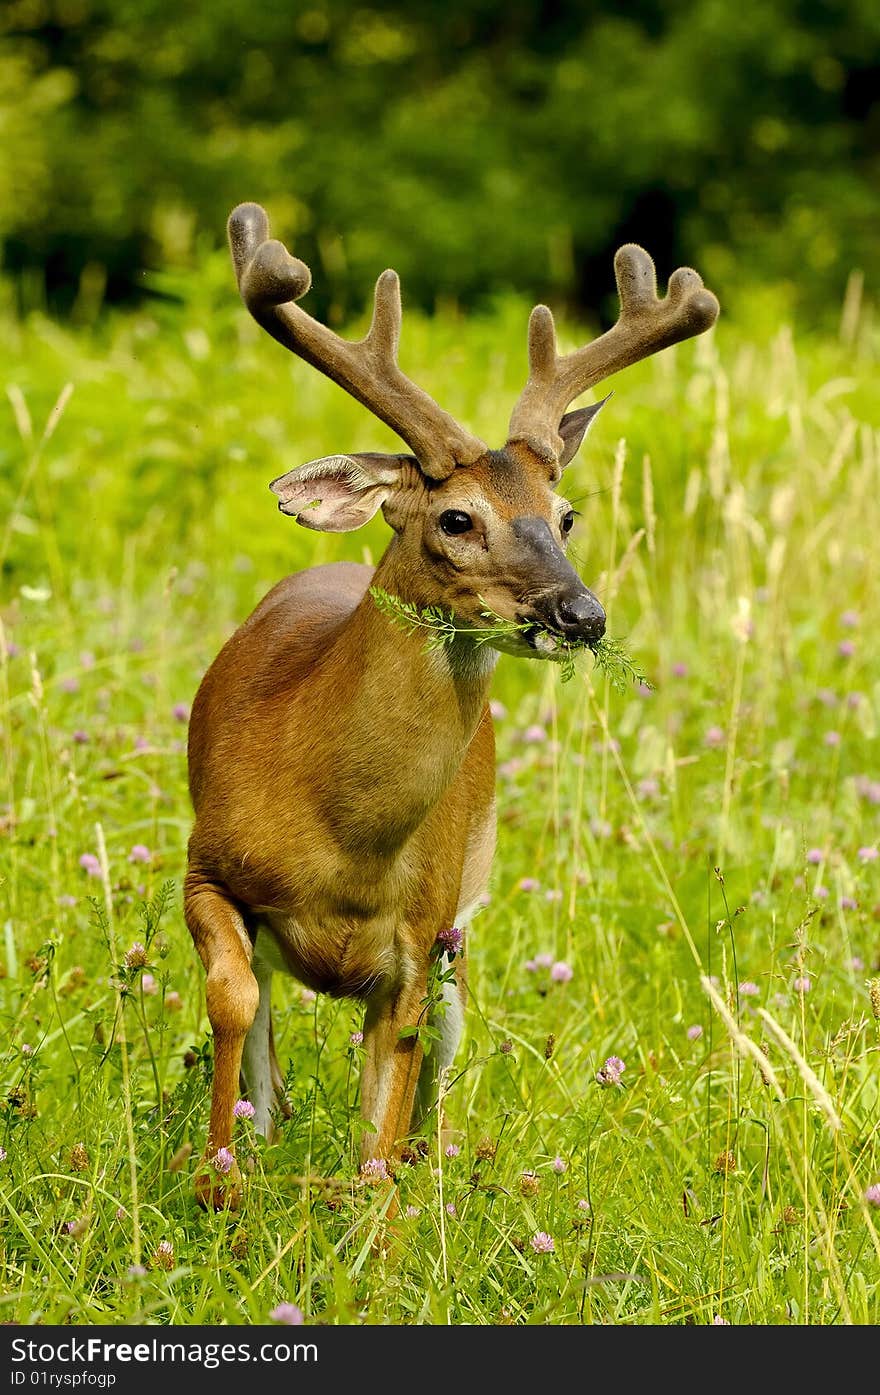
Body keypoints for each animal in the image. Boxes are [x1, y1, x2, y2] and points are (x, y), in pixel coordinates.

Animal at [184, 199, 714, 1210]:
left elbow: (382, 1119)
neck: (336, 838)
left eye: (566, 513)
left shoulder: (417, 933)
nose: (580, 614)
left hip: (466, 907)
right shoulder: (205, 863)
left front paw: (373, 1221)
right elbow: (236, 997)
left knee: (434, 1056)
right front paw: (219, 1176)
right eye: (456, 517)